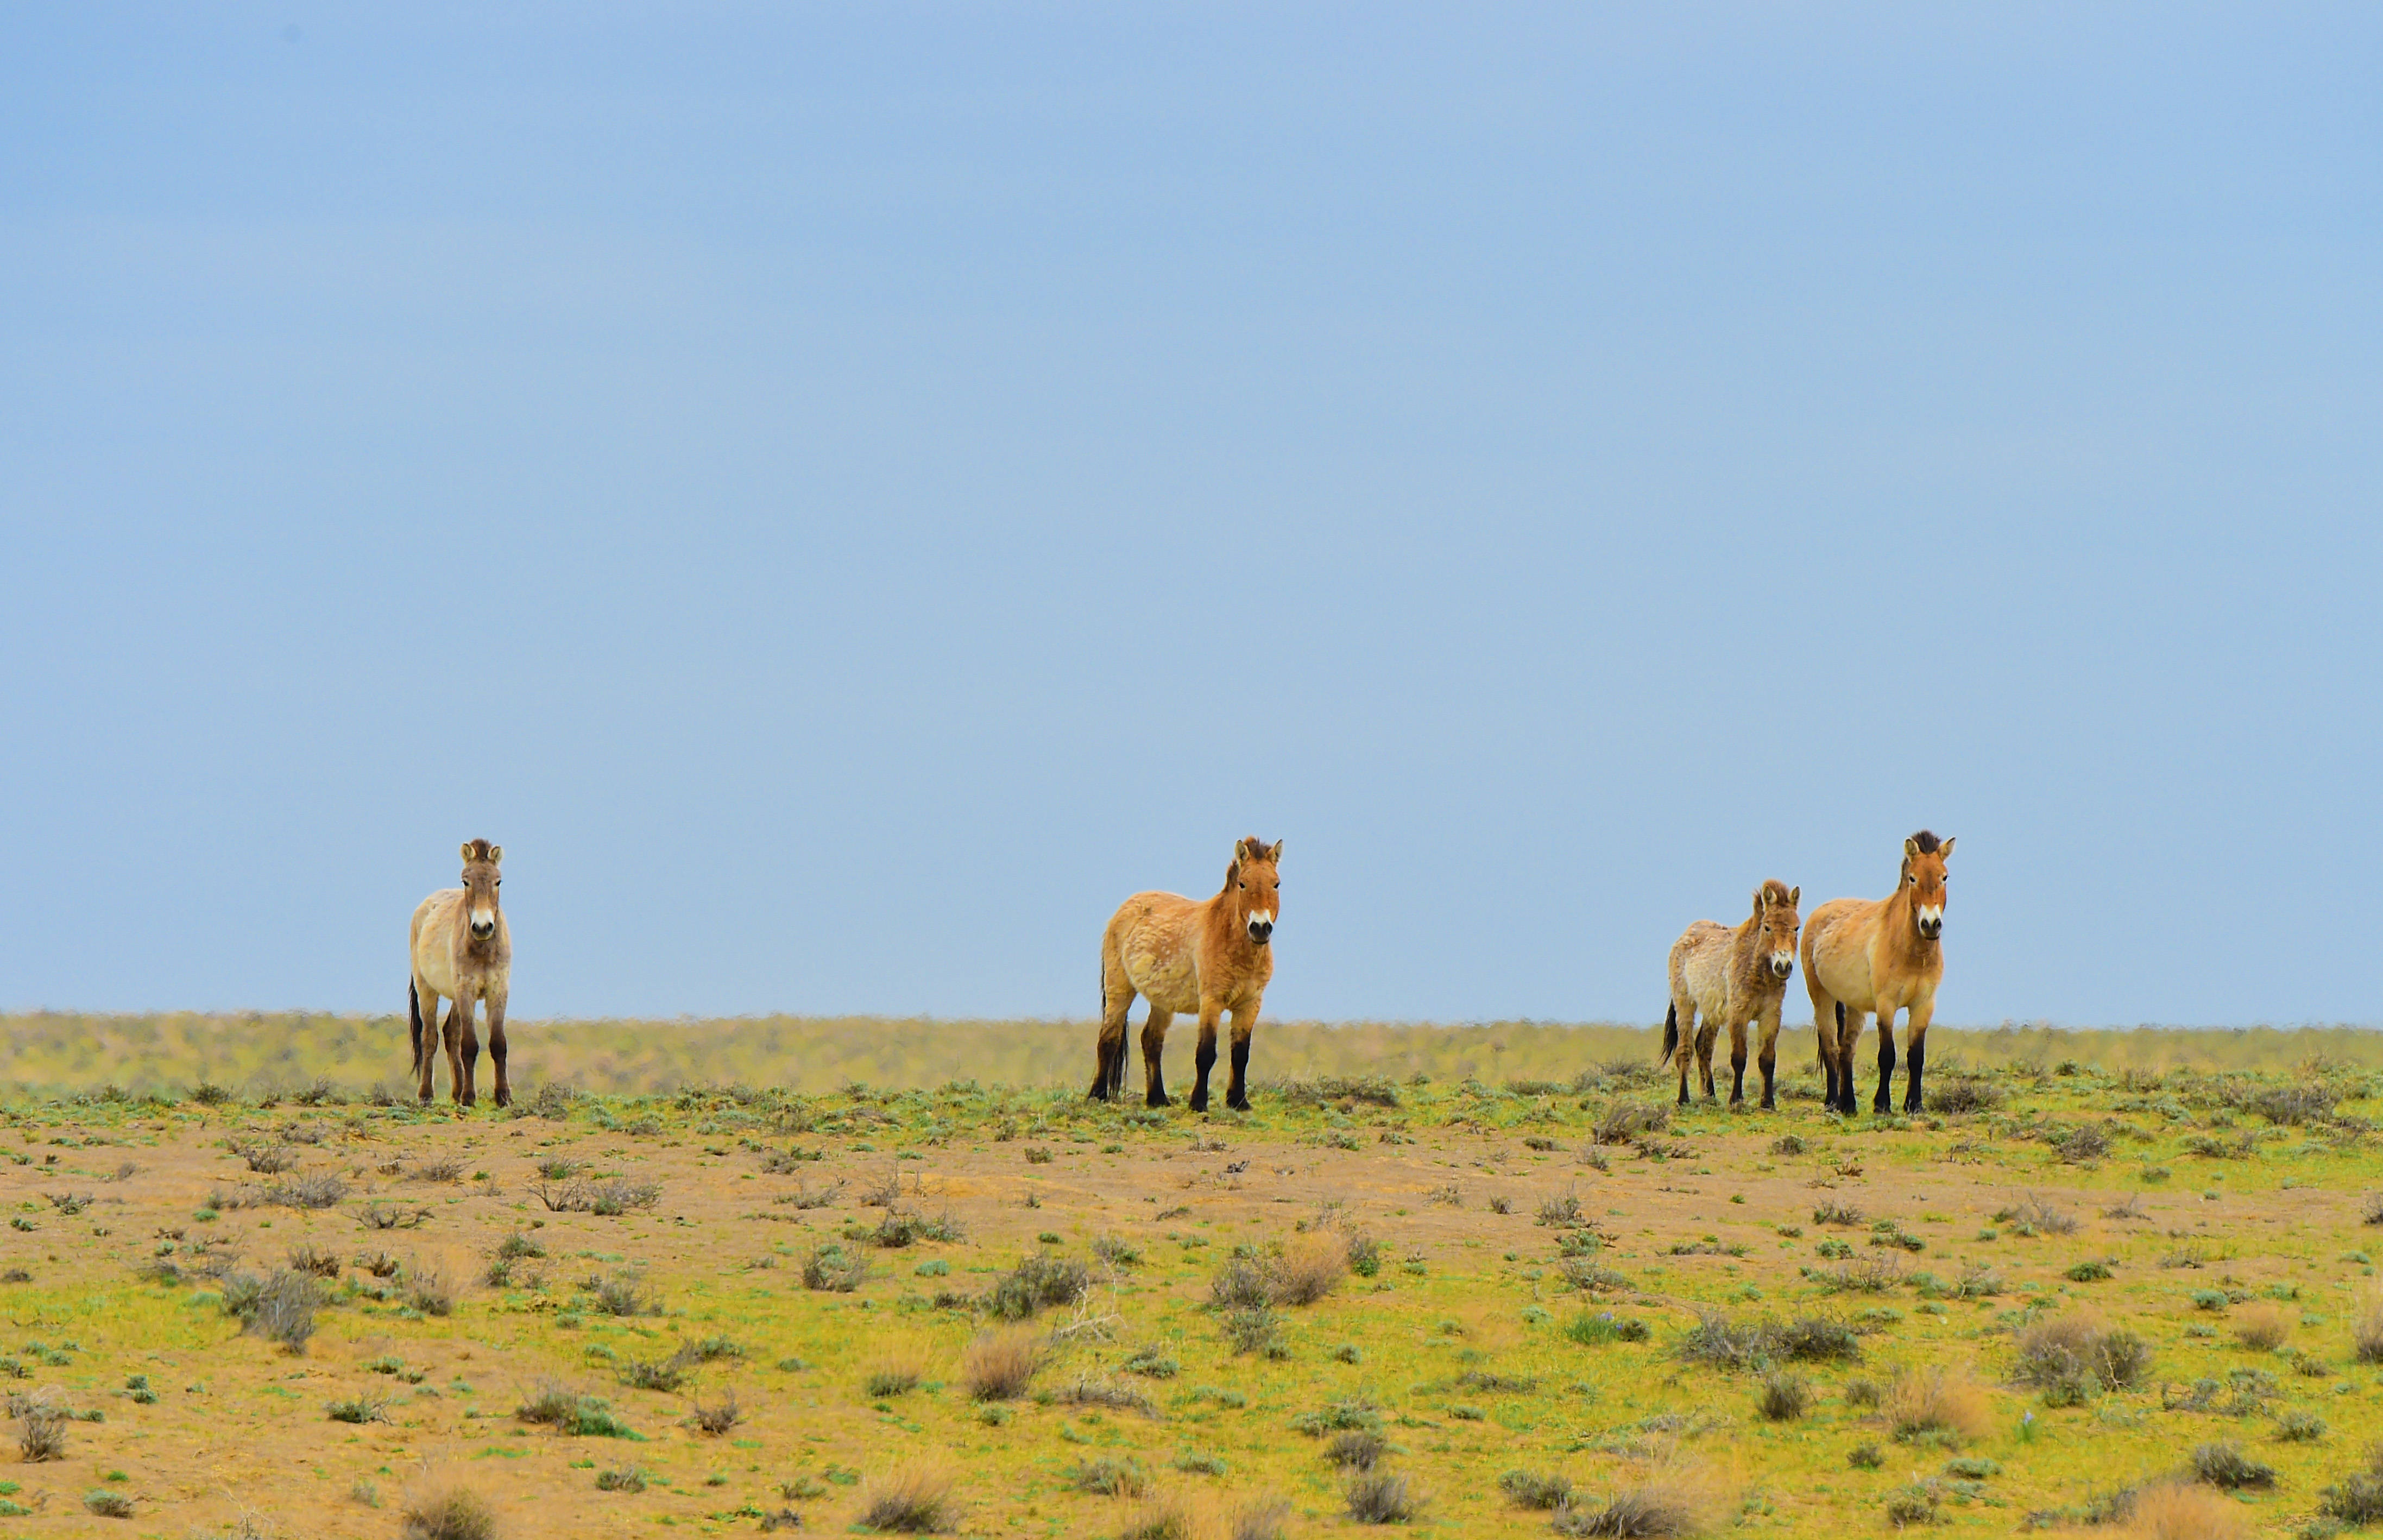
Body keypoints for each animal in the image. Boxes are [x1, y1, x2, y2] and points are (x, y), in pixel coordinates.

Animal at [409, 844, 512, 1110]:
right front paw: (469, 1097)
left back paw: (456, 1092)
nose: (483, 927)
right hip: (428, 989)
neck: (483, 949)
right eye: (466, 882)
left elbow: (499, 1044)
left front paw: (503, 1097)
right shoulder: (466, 991)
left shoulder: (498, 990)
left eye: (498, 881)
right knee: (430, 1037)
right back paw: (426, 1095)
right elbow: (470, 1045)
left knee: (450, 1033)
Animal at [1091, 839, 1287, 1115]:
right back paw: (1097, 1095)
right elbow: (1205, 1054)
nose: (1260, 928)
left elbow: (1241, 1055)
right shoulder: (1211, 1002)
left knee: (1151, 1040)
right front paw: (1199, 1103)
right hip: (1119, 989)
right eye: (1243, 883)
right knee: (1108, 1039)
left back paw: (1158, 1098)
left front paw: (1238, 1102)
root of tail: (1124, 908)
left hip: (1162, 1003)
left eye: (1276, 884)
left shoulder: (1250, 1005)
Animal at [1668, 882, 1792, 1110]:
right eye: (1768, 927)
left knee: (1704, 1047)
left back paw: (1709, 1096)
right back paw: (1683, 1099)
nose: (1783, 966)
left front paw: (1768, 1103)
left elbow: (1768, 1060)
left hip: (1712, 1012)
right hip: (1685, 1006)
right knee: (1685, 1050)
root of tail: (1685, 936)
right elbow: (1739, 1058)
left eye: (1796, 928)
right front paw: (1736, 1100)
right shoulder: (1738, 1015)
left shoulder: (1771, 1016)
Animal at [1801, 839, 1954, 1115]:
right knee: (1831, 1048)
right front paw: (1882, 1104)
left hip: (1854, 1006)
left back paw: (1849, 1105)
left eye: (1944, 877)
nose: (1930, 925)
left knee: (1847, 1050)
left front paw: (1914, 1104)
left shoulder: (1924, 1006)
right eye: (1913, 878)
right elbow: (1887, 1056)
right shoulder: (1887, 1005)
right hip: (1822, 998)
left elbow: (1916, 1057)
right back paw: (1832, 1102)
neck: (1912, 952)